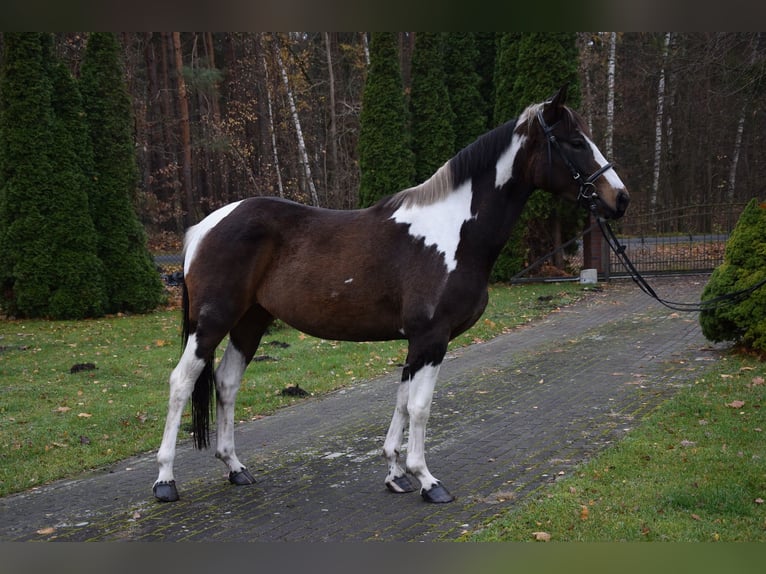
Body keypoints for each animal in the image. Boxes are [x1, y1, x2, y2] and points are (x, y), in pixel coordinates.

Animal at [152, 85, 629, 504]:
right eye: (574, 142)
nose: (620, 199)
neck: (454, 233)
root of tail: (203, 227)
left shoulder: (417, 340)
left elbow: (401, 402)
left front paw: (396, 473)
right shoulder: (432, 337)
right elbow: (419, 407)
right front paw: (427, 480)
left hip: (250, 321)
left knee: (227, 383)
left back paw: (235, 468)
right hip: (212, 322)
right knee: (181, 382)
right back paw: (165, 481)